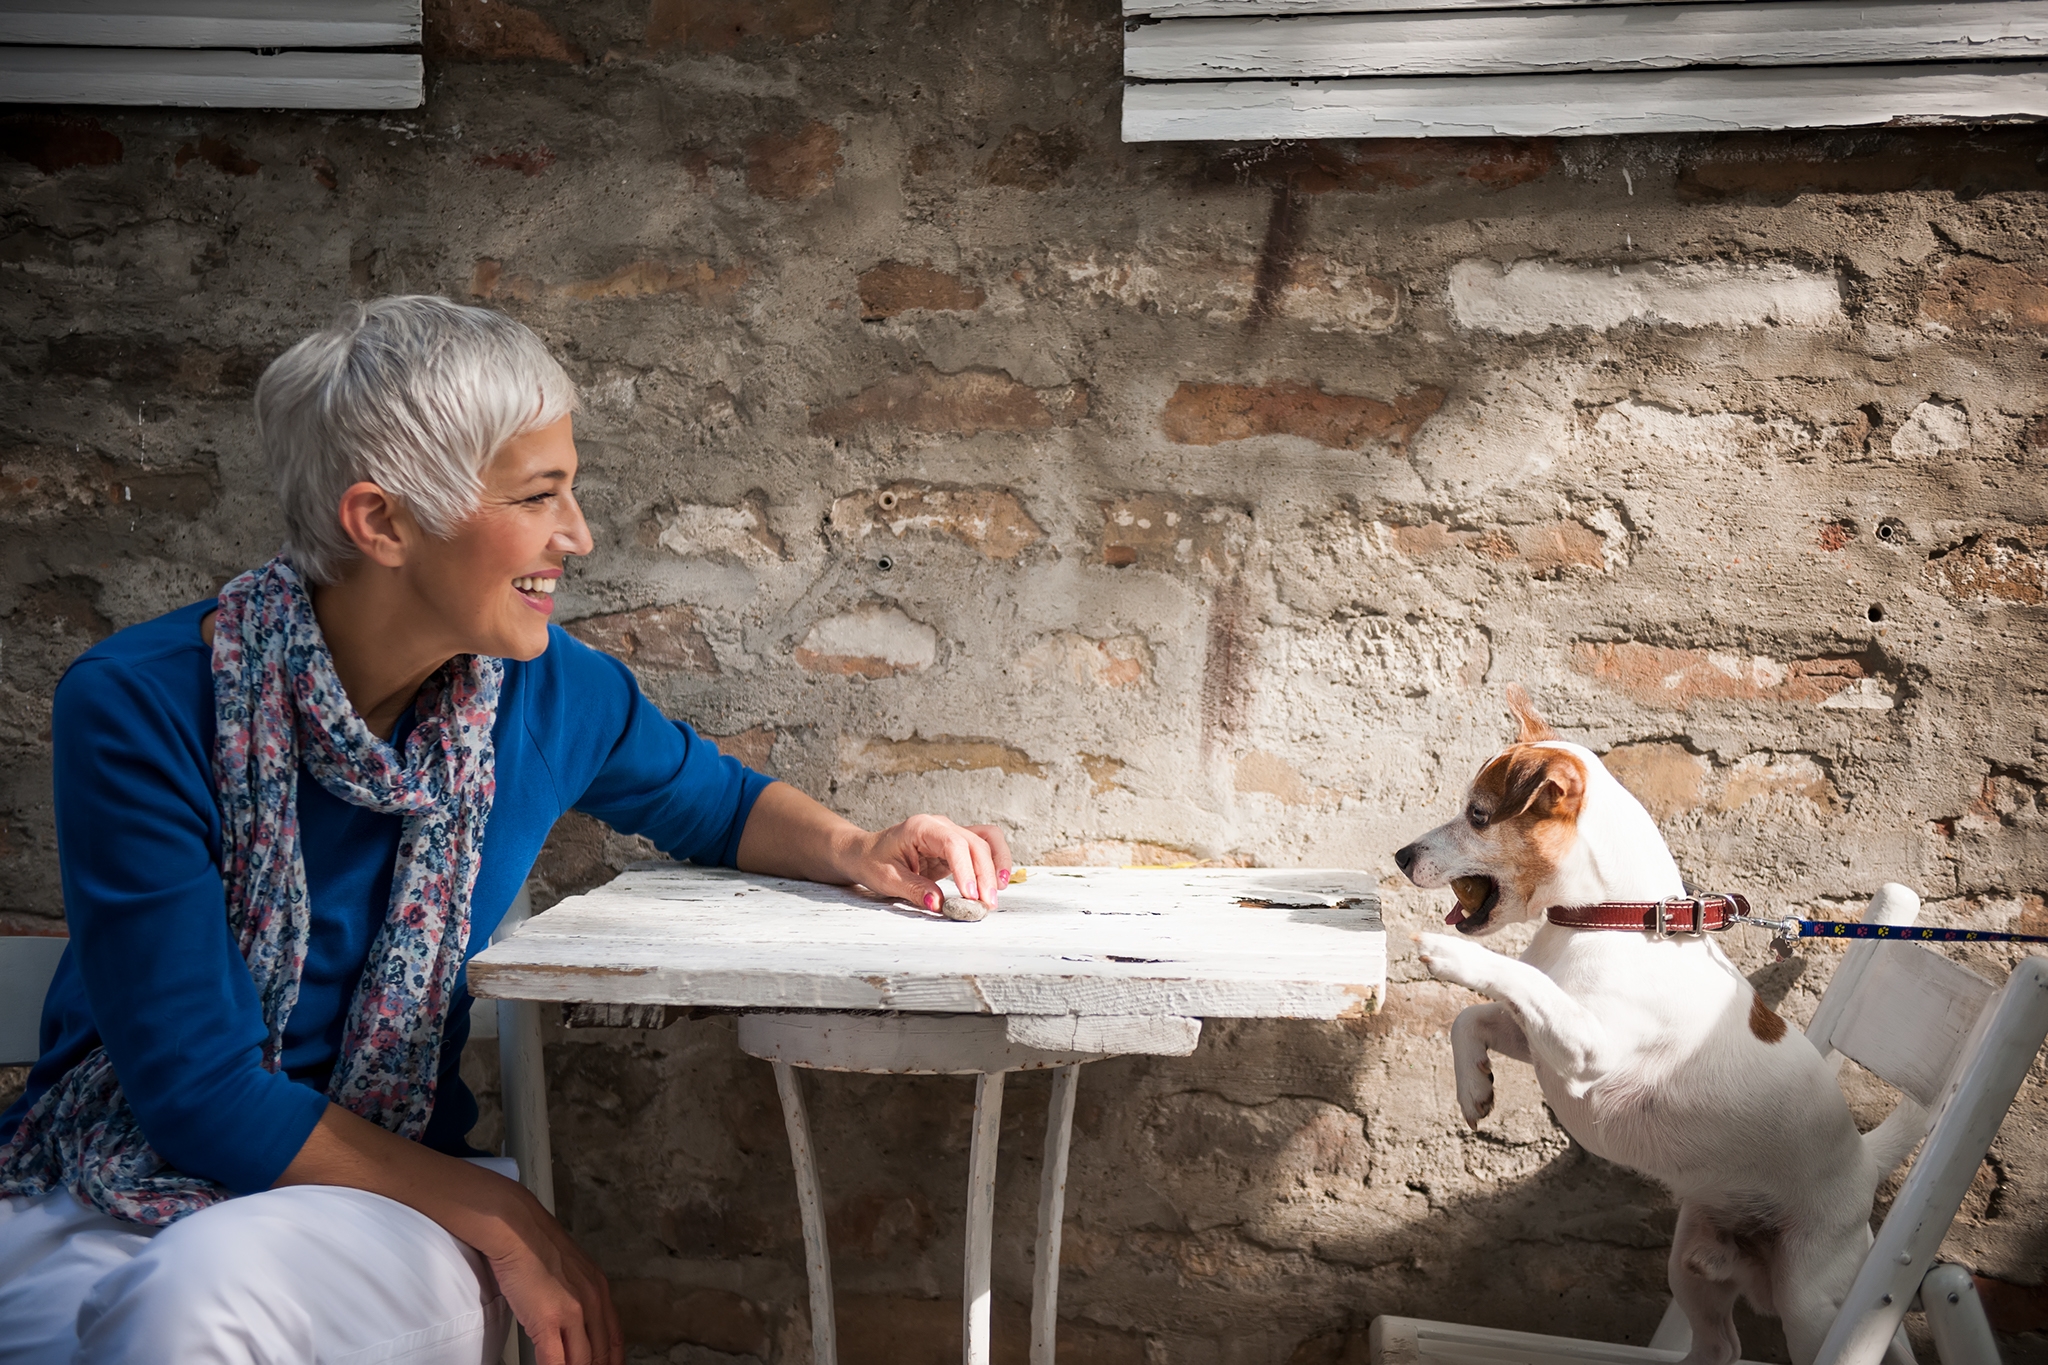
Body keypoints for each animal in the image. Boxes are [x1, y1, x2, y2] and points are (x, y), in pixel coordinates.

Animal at [1392, 687, 1916, 1365]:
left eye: (1478, 815)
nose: (1401, 856)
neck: (1608, 919)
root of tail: (1865, 1165)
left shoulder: (1588, 1047)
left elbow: (1513, 978)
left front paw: (1452, 957)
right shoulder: (1540, 1040)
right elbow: (1471, 1016)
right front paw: (1474, 1089)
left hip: (1810, 1302)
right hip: (1691, 1261)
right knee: (1719, 1346)